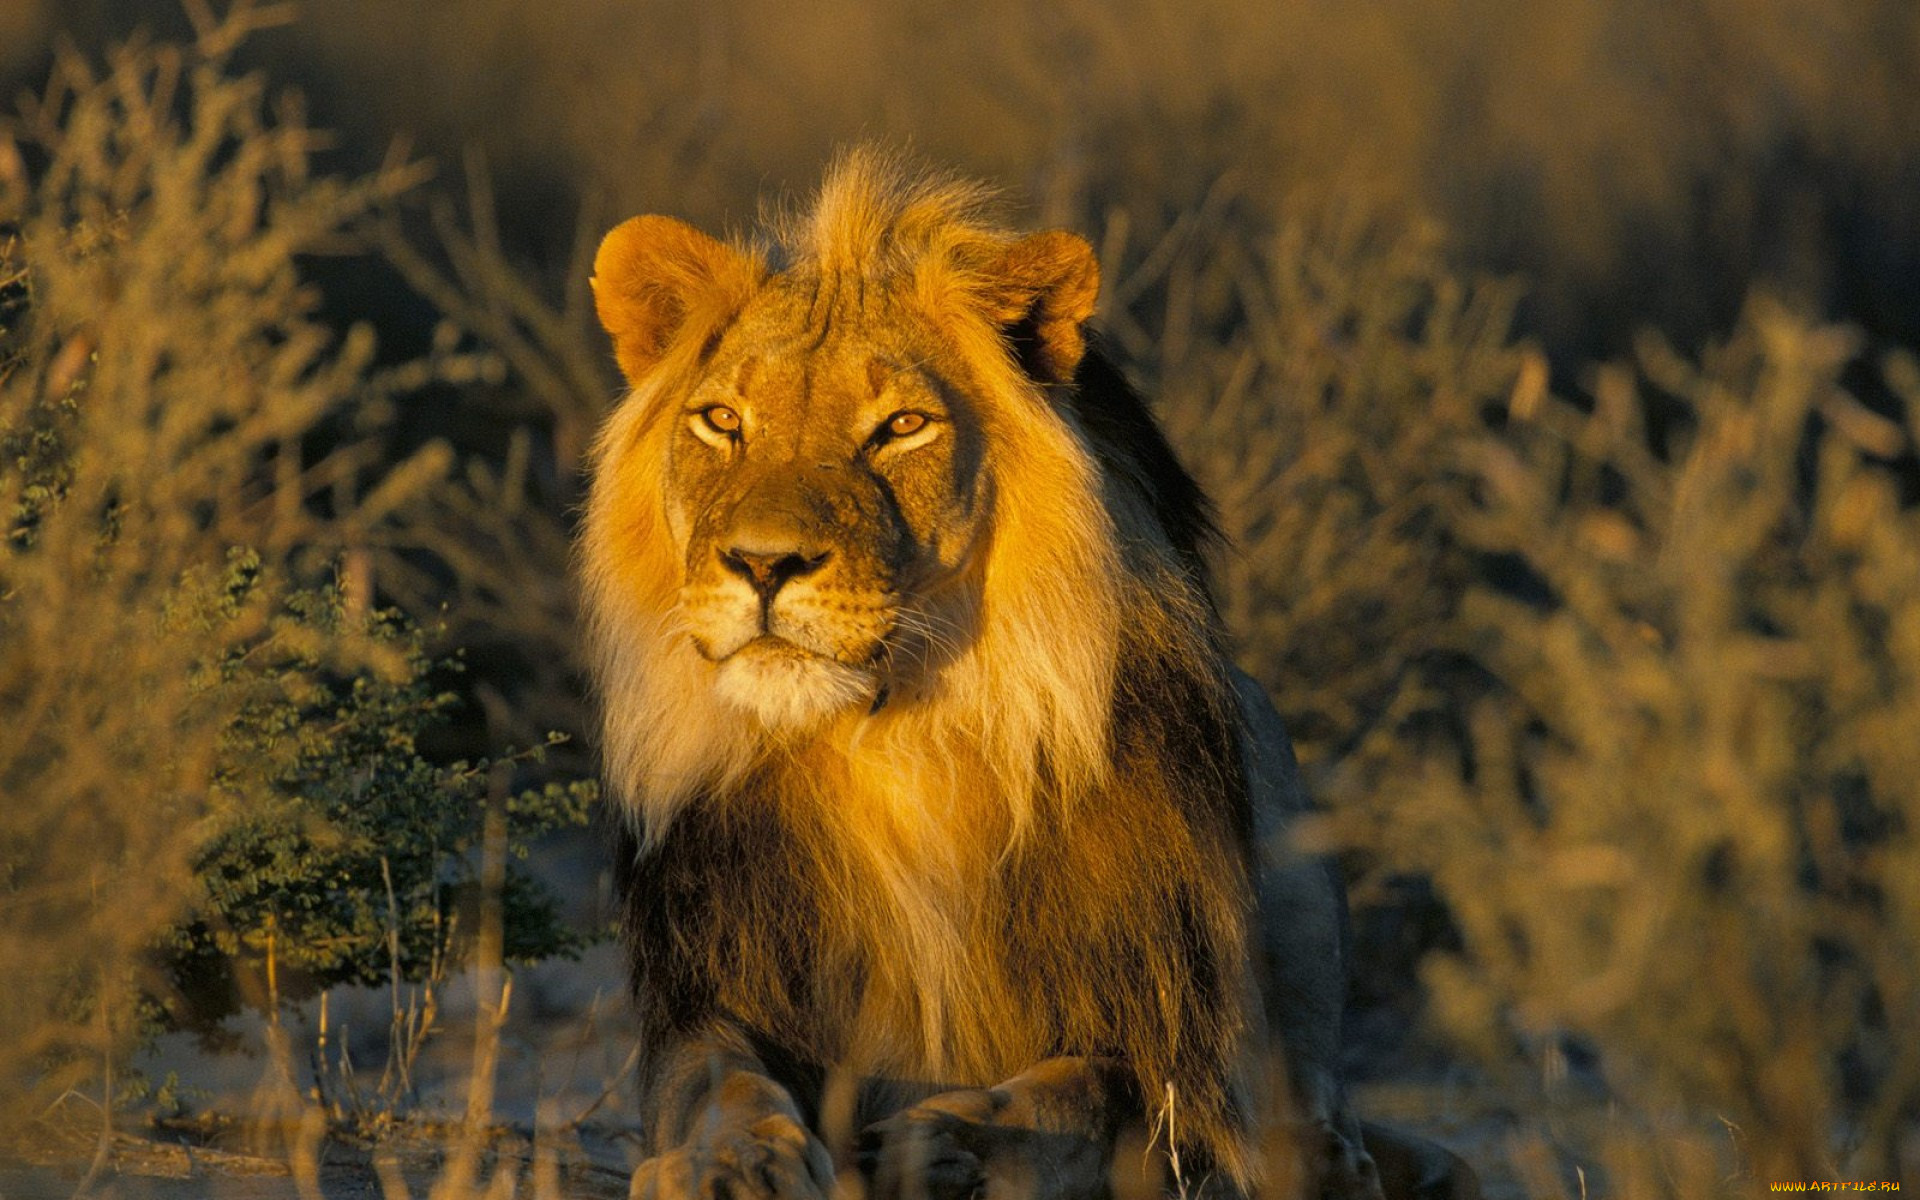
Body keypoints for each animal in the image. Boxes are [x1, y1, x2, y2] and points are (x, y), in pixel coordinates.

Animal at [576, 149, 1474, 1198]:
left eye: (902, 426)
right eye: (721, 421)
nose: (761, 564)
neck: (897, 741)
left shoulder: (1193, 1064)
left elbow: (1091, 1090)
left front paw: (944, 1143)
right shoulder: (710, 987)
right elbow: (716, 1079)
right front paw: (734, 1164)